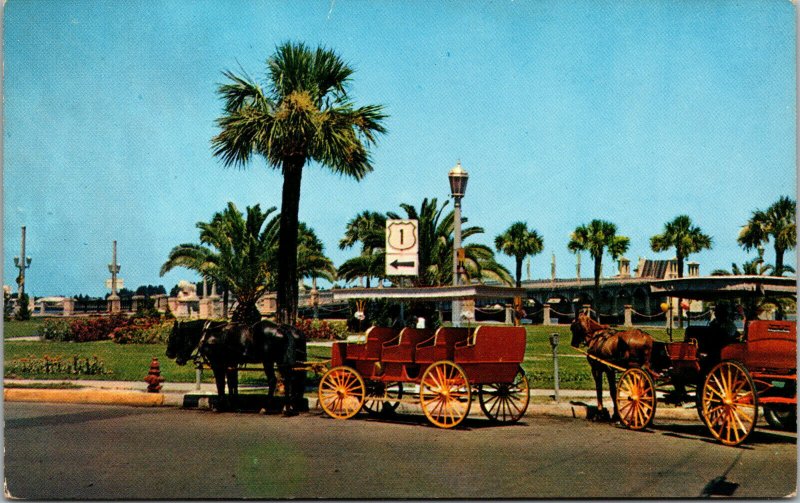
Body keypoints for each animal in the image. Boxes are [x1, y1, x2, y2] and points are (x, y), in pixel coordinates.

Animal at [166, 320, 306, 416]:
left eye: (173, 336)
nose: (168, 354)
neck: (208, 334)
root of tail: (282, 329)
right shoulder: (230, 364)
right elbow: (232, 383)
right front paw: (232, 403)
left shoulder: (218, 364)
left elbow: (221, 384)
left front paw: (220, 405)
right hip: (282, 362)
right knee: (290, 380)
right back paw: (288, 407)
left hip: (269, 361)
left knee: (274, 380)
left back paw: (268, 407)